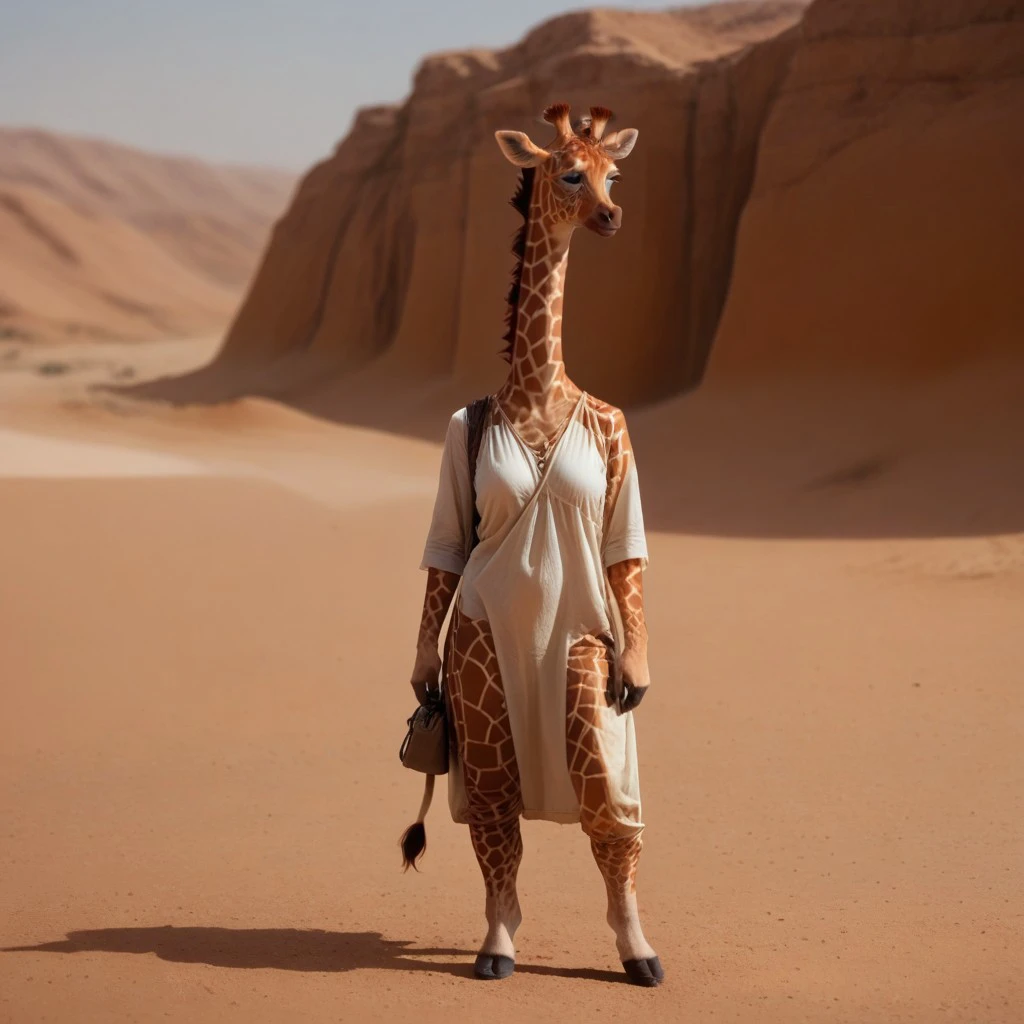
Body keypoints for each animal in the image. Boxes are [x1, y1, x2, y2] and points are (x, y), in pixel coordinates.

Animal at [408, 102, 661, 987]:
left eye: (616, 173)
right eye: (569, 173)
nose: (613, 218)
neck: (540, 394)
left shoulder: (618, 459)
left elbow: (611, 819)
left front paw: (638, 952)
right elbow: (446, 549)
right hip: (480, 682)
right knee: (493, 814)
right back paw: (498, 940)